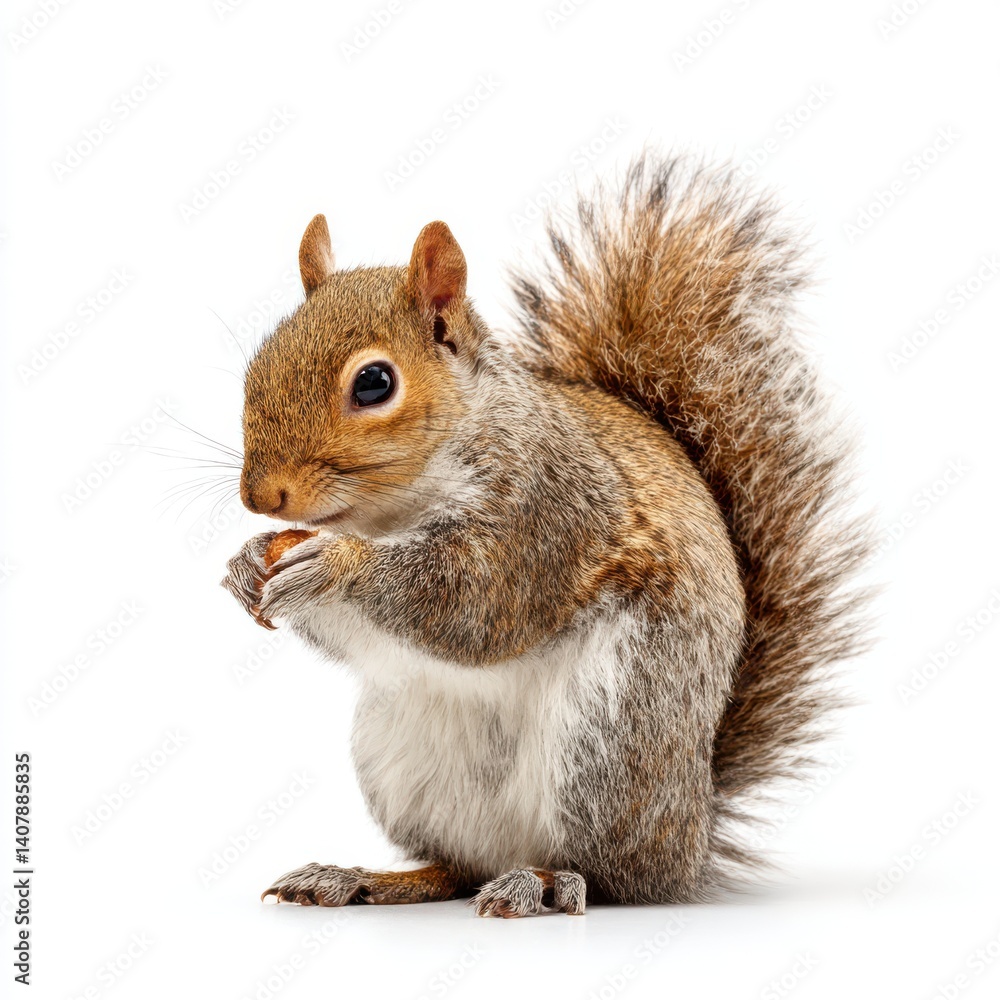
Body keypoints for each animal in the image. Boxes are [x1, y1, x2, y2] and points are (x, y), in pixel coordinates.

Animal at [221, 153, 870, 917]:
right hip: (402, 758)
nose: (261, 496)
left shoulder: (545, 512)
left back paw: (547, 882)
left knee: (609, 877)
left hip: (609, 741)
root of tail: (691, 830)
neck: (392, 513)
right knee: (457, 865)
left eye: (375, 382)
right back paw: (363, 878)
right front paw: (245, 565)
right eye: (258, 361)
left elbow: (474, 602)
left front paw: (335, 566)